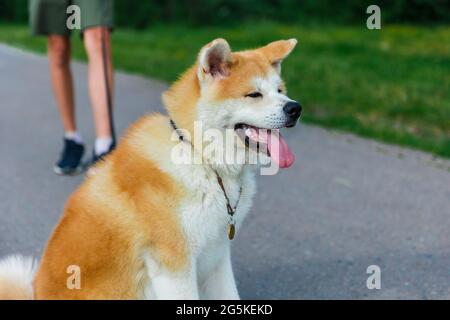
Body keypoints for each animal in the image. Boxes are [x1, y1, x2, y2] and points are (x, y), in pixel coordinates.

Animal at [0, 38, 302, 300]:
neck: (199, 156)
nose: (295, 108)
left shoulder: (217, 254)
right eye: (254, 94)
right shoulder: (175, 267)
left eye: (280, 91)